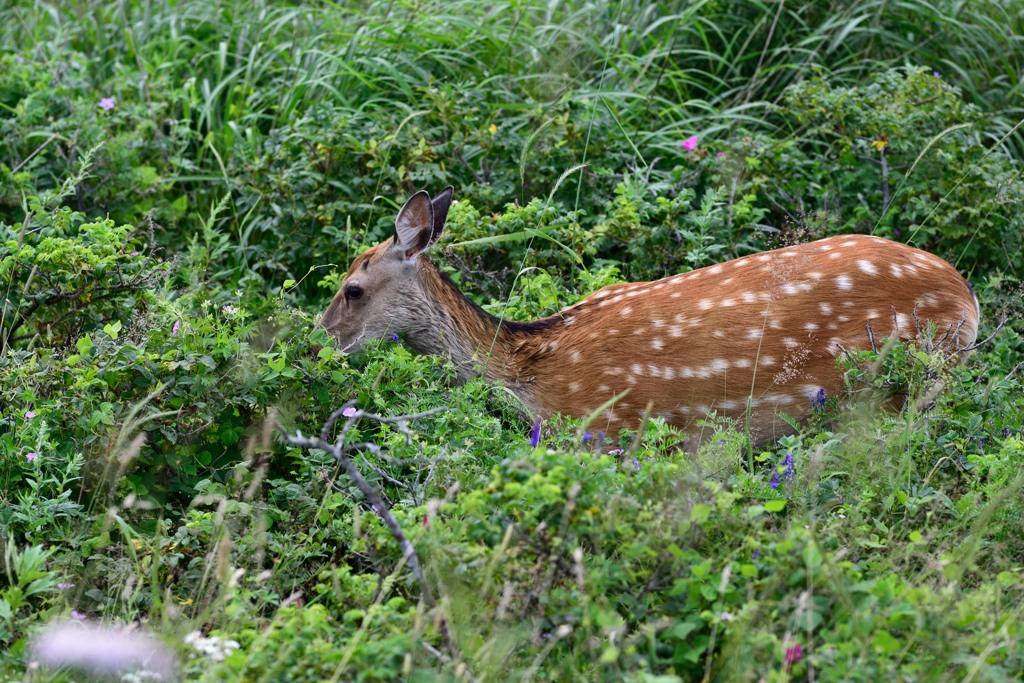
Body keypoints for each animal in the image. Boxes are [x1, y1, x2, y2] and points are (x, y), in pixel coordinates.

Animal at [315, 187, 978, 448]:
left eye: (353, 289)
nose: (317, 340)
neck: (527, 368)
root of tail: (967, 298)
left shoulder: (605, 430)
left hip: (894, 383)